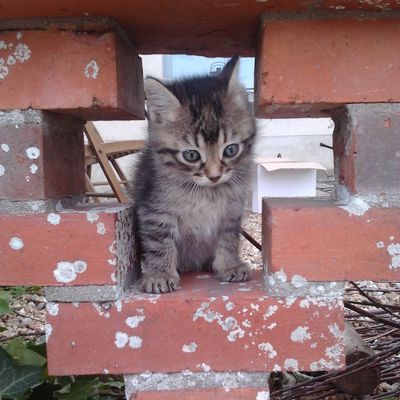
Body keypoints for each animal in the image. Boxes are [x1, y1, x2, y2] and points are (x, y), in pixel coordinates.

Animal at [131, 55, 256, 294]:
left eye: (230, 150)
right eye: (191, 155)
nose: (215, 176)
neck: (208, 192)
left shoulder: (232, 211)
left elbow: (229, 239)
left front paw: (230, 265)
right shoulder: (155, 210)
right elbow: (159, 242)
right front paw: (160, 275)